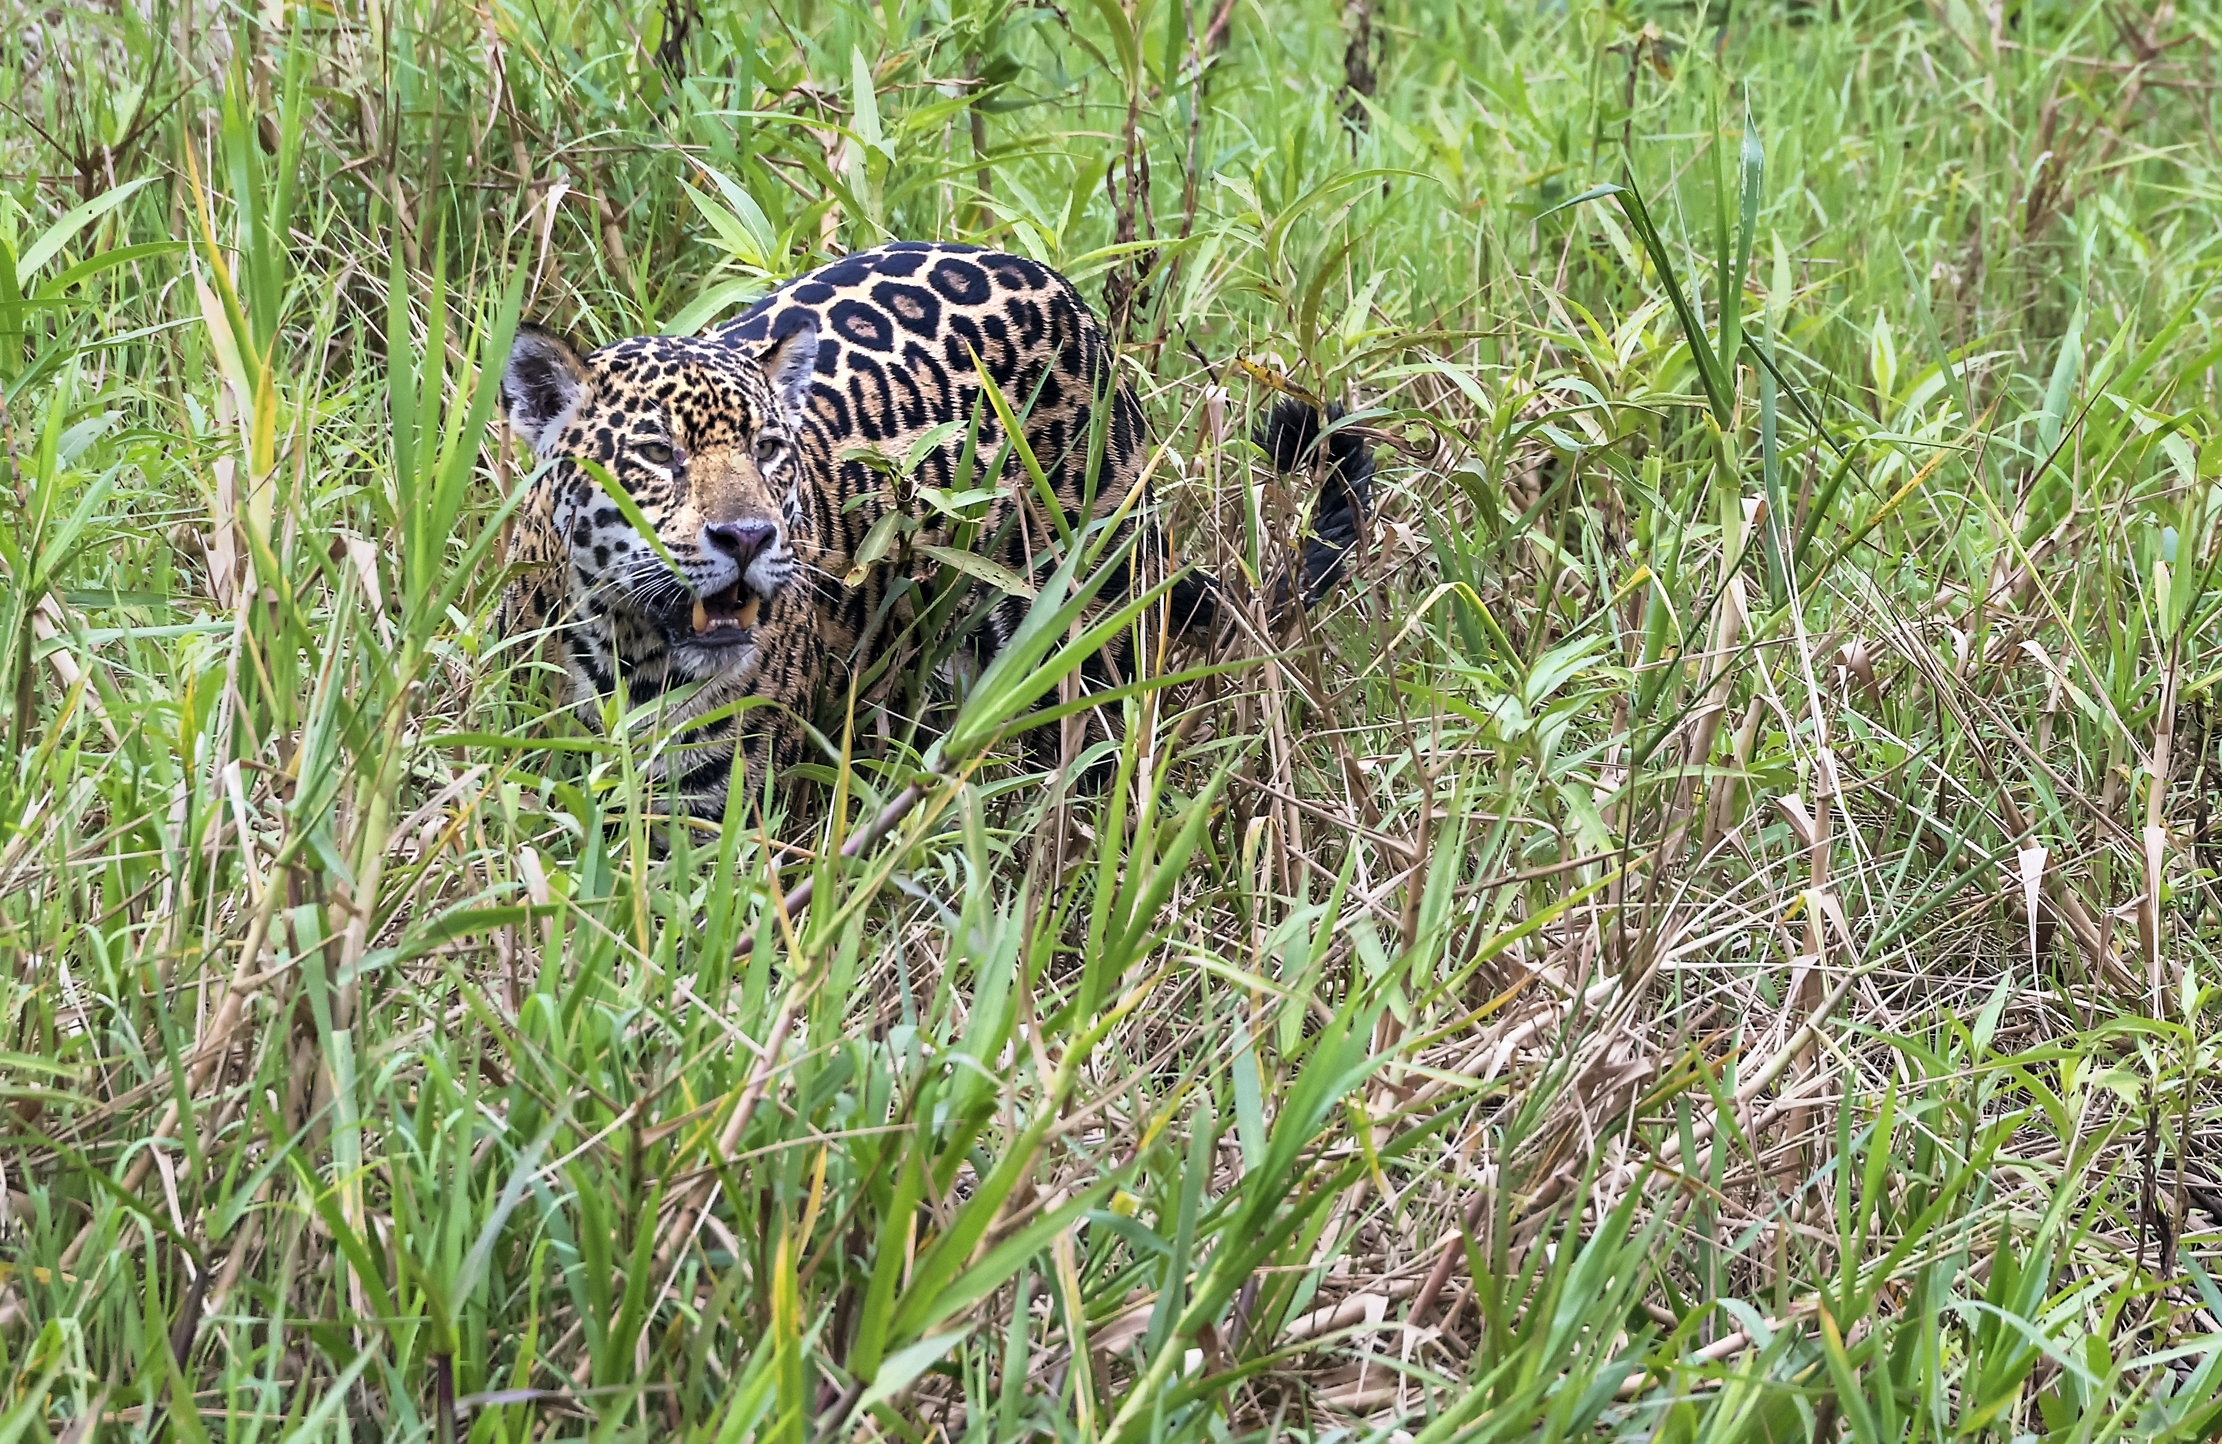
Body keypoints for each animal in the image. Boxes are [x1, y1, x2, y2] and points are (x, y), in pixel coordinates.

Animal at [497, 240, 1373, 821]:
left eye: (769, 451)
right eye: (656, 455)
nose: (746, 538)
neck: (630, 656)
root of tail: (1070, 297)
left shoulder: (721, 816)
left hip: (1086, 636)